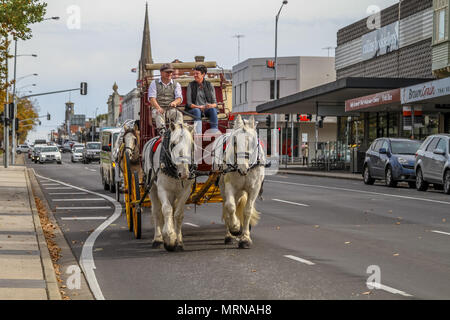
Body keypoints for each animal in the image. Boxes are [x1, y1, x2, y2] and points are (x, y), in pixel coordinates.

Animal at [142, 119, 195, 251]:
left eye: (190, 144)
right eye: (173, 144)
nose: (184, 173)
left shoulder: (185, 191)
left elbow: (178, 214)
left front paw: (178, 241)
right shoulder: (162, 189)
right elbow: (166, 210)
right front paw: (169, 237)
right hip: (152, 188)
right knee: (157, 211)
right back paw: (157, 239)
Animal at [213, 114, 266, 249]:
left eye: (252, 142)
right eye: (235, 141)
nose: (243, 168)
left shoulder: (254, 189)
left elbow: (247, 211)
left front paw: (245, 238)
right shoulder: (229, 186)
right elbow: (230, 207)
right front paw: (235, 227)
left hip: (241, 191)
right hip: (223, 188)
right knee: (226, 206)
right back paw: (229, 235)